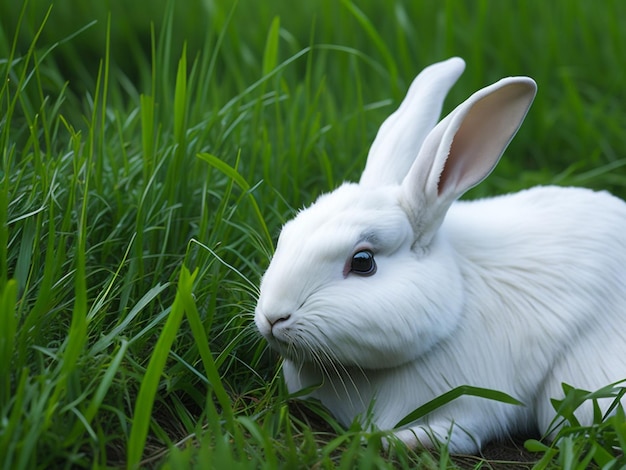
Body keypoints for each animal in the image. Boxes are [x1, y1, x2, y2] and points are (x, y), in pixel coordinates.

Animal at [254, 57, 624, 454]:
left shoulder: (474, 406)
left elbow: (456, 434)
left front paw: (393, 438)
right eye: (287, 234)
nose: (273, 317)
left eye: (363, 262)